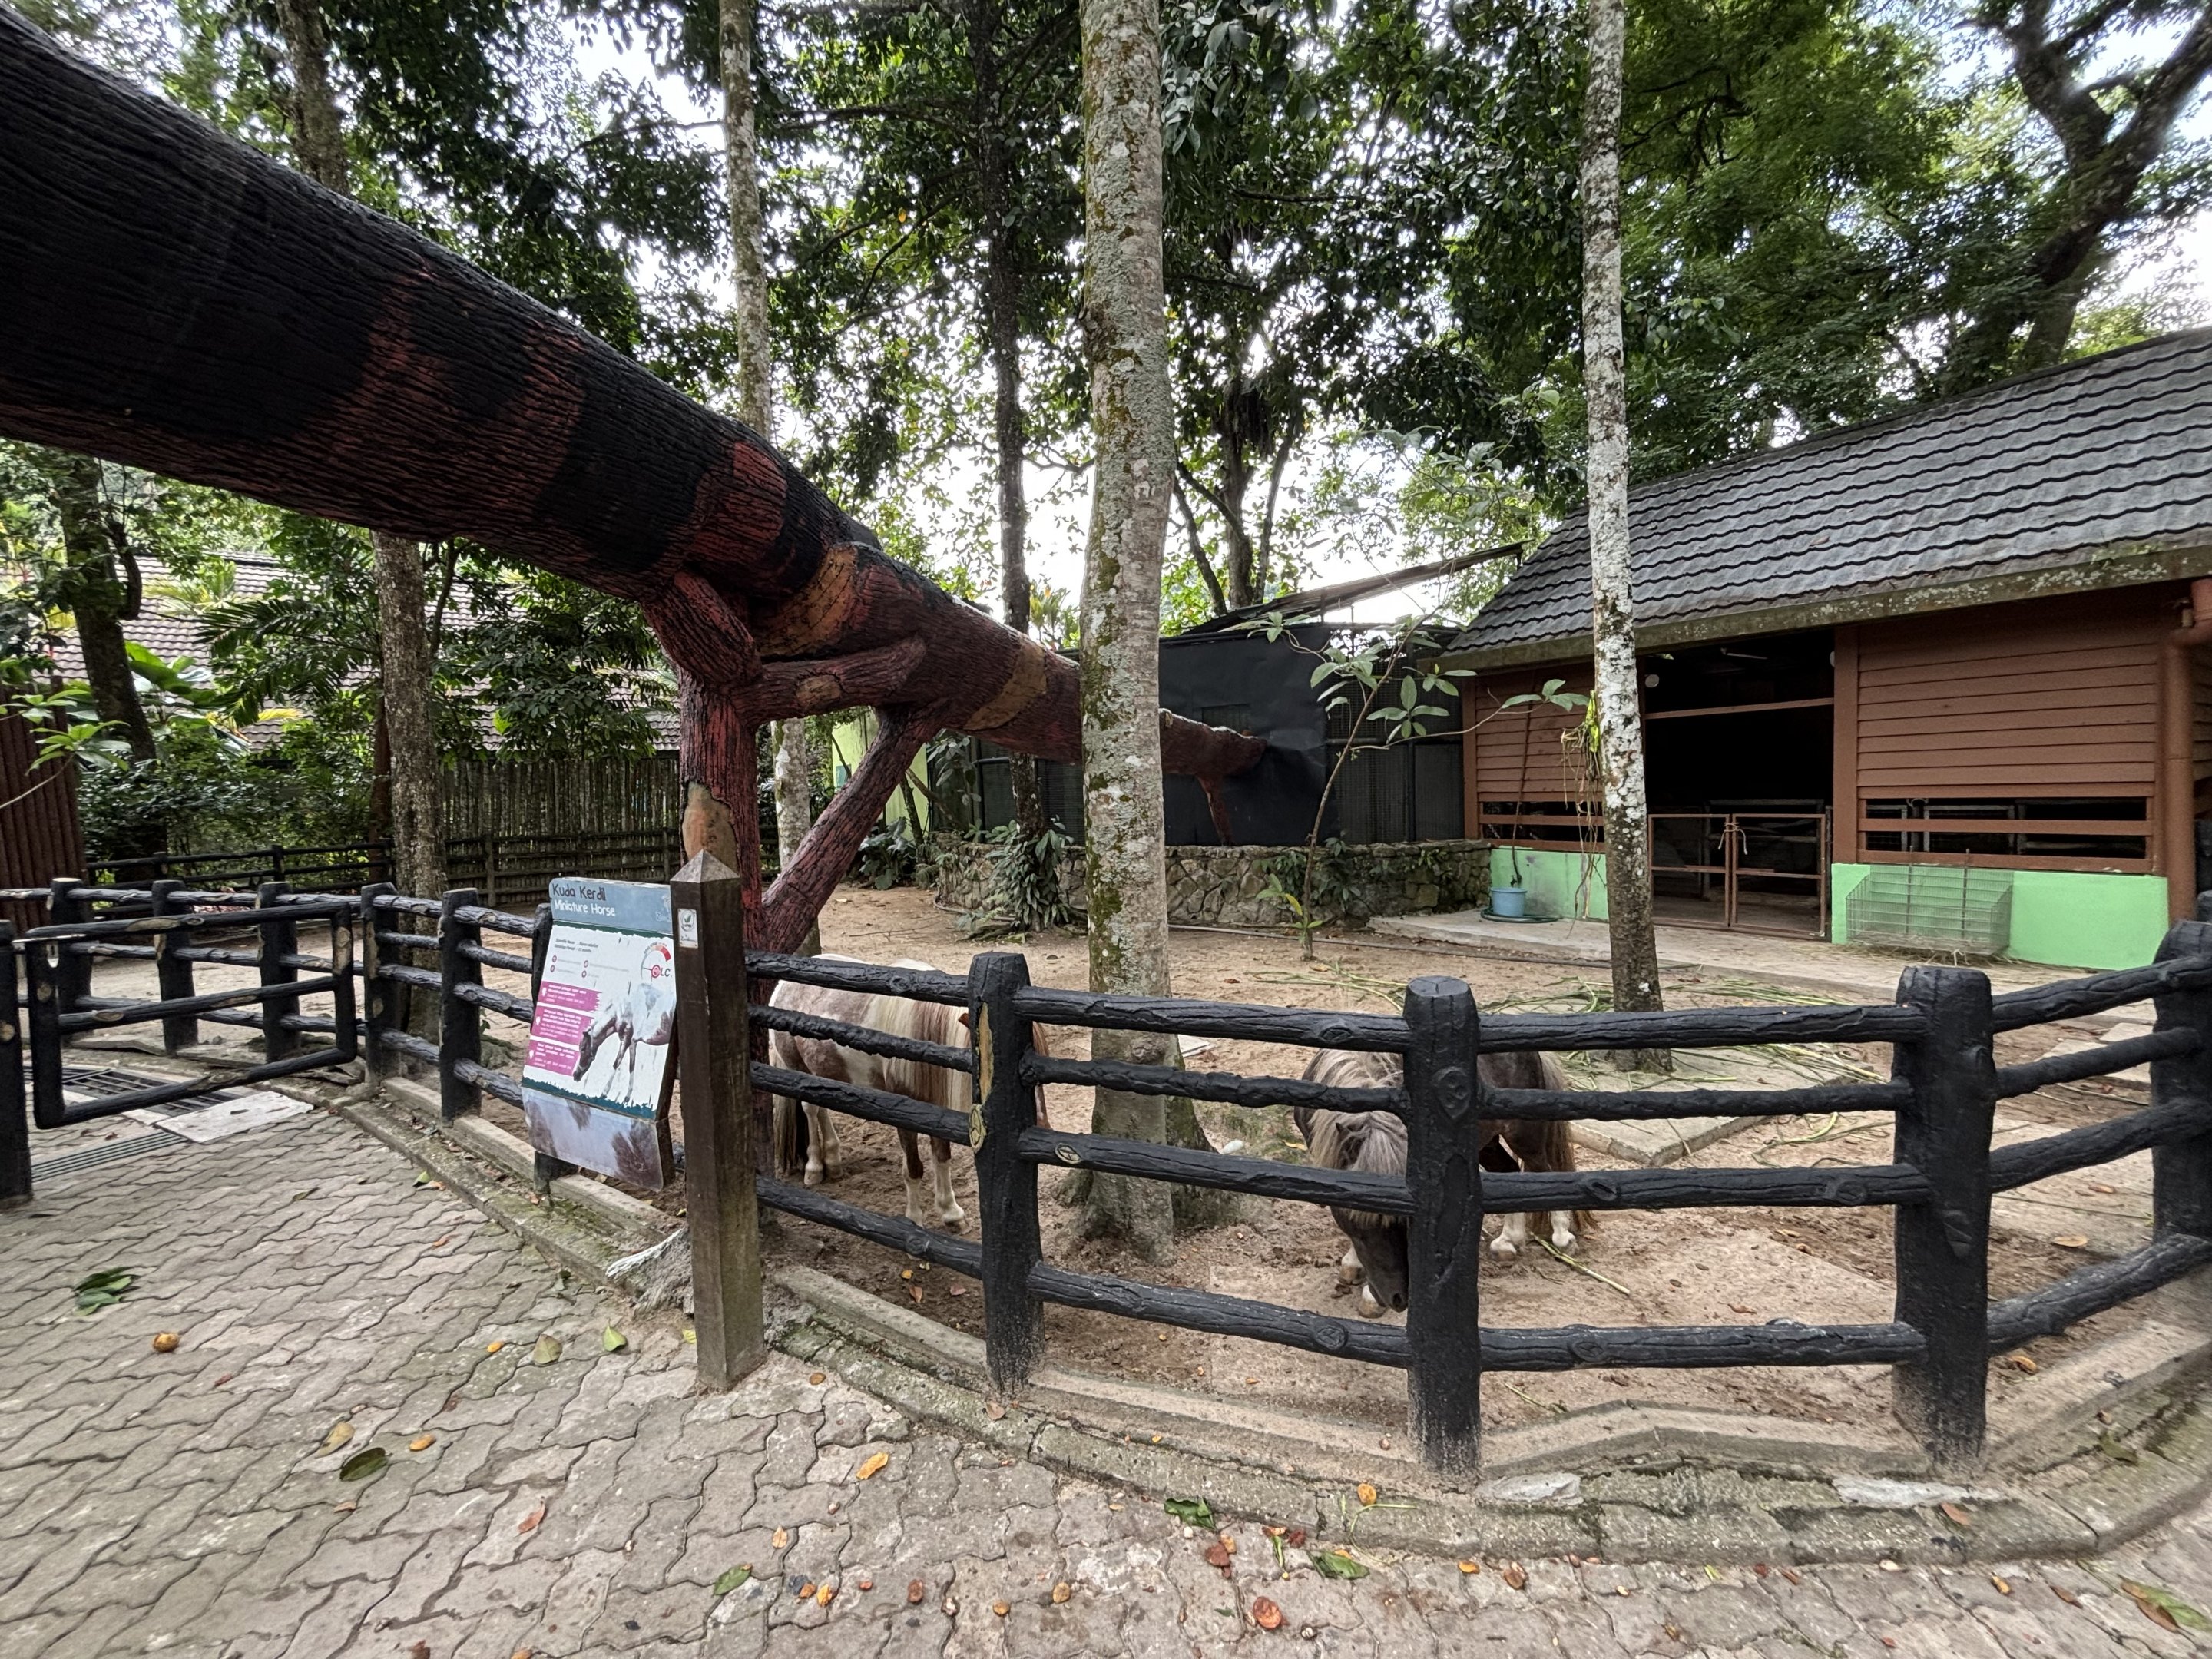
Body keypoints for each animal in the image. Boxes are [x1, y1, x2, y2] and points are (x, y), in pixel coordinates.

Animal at [764, 956, 1049, 1231]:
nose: (1041, 1126)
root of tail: (782, 987)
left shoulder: (935, 1110)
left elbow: (941, 1157)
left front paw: (951, 1214)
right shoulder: (905, 1115)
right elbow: (914, 1168)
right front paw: (914, 1220)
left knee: (821, 1107)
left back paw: (833, 1162)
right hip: (797, 1068)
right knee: (811, 1110)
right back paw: (814, 1168)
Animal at [1293, 1048, 1588, 1317]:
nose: (1397, 1297)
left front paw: (1368, 1296)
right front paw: (1353, 1266)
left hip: (1526, 1136)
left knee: (1545, 1173)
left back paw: (1562, 1238)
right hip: (1487, 1143)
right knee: (1511, 1173)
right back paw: (1508, 1242)